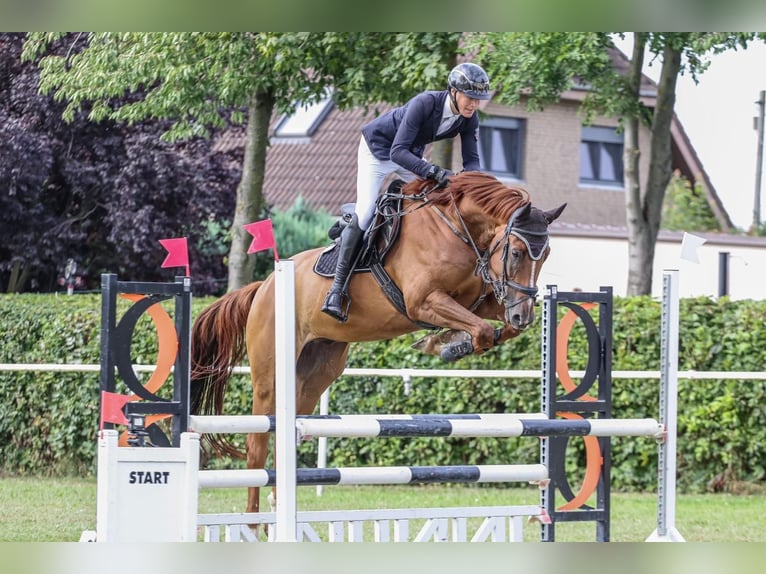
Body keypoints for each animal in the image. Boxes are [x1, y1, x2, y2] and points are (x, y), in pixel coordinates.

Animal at [189, 171, 568, 528]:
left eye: (547, 255)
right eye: (516, 252)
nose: (523, 315)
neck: (457, 230)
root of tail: (264, 285)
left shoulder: (481, 298)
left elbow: (492, 328)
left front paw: (450, 341)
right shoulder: (423, 301)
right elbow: (484, 330)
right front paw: (447, 344)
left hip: (315, 372)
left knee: (287, 431)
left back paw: (276, 512)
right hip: (270, 373)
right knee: (257, 444)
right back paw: (253, 524)